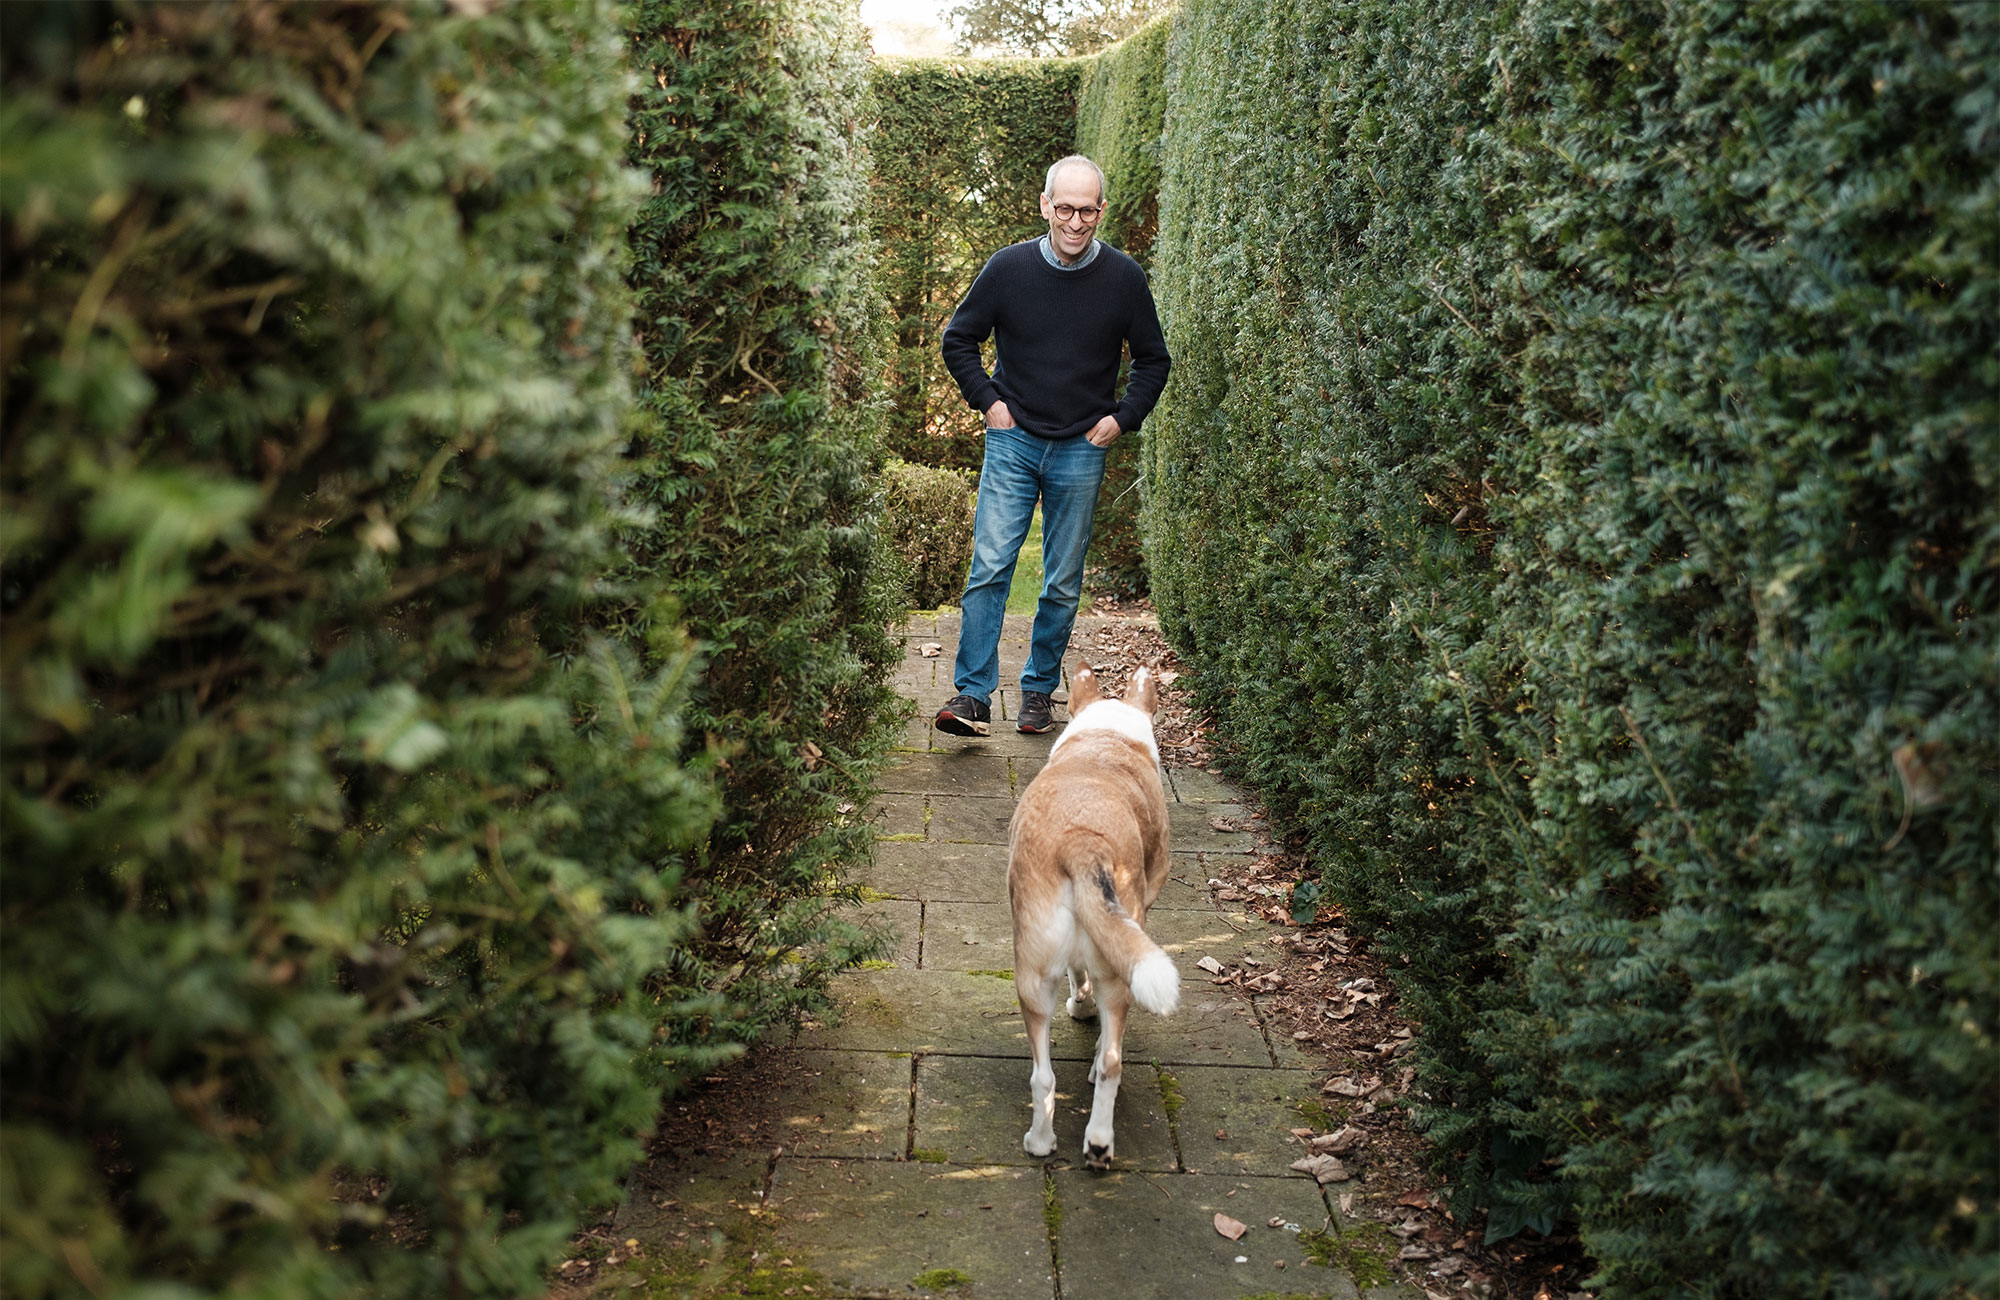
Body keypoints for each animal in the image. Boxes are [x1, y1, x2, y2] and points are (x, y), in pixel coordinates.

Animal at [1008, 660, 1176, 1168]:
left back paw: (1051, 1142)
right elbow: (1082, 982)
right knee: (1109, 1059)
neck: (1107, 737)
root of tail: (1081, 841)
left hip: (1031, 977)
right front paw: (1083, 1010)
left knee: (1047, 1076)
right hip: (1116, 967)